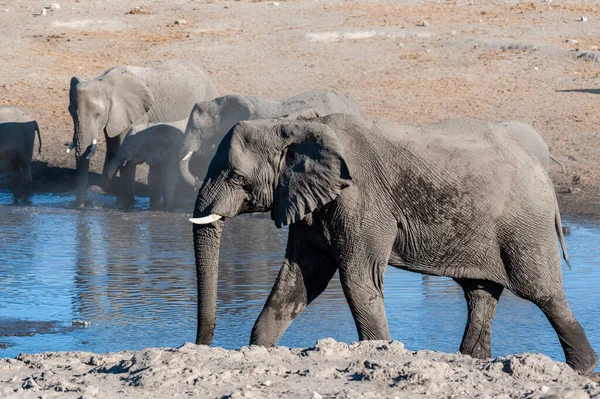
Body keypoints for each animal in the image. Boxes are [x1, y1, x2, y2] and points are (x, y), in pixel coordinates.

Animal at [68, 61, 218, 209]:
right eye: (70, 112)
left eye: (98, 114)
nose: (81, 207)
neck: (105, 81)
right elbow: (113, 149)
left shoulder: (134, 113)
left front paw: (126, 205)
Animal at [190, 115, 596, 376]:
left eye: (237, 177)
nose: (201, 347)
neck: (295, 124)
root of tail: (545, 177)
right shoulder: (310, 203)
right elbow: (300, 280)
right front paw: (258, 350)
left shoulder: (361, 200)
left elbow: (357, 280)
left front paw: (380, 353)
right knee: (480, 293)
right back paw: (475, 360)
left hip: (524, 226)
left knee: (542, 293)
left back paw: (583, 368)